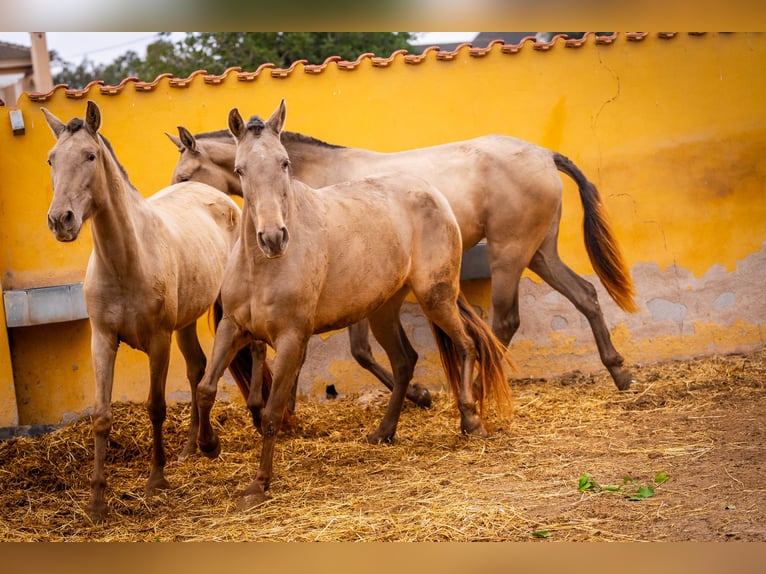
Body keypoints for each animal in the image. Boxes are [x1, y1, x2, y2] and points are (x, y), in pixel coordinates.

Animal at [42, 101, 240, 524]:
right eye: (51, 159)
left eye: (90, 155)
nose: (60, 220)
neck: (125, 261)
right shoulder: (102, 341)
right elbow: (101, 416)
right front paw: (96, 501)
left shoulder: (157, 341)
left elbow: (155, 406)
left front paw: (156, 480)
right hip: (186, 322)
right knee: (198, 367)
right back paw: (192, 447)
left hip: (221, 310)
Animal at [170, 109, 640, 396]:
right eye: (241, 169)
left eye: (184, 175)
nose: (177, 198)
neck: (311, 178)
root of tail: (544, 155)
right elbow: (361, 351)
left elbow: (361, 351)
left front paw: (418, 394)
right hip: (539, 252)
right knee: (585, 295)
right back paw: (619, 372)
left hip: (509, 253)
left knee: (504, 321)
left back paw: (478, 387)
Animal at [195, 101, 512, 510]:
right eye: (240, 169)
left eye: (284, 162)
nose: (273, 237)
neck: (262, 267)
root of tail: (432, 192)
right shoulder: (233, 327)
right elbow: (205, 388)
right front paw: (208, 446)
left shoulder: (291, 338)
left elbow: (271, 412)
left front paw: (258, 485)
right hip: (383, 310)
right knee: (404, 361)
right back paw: (384, 432)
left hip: (435, 296)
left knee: (466, 345)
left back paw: (470, 421)